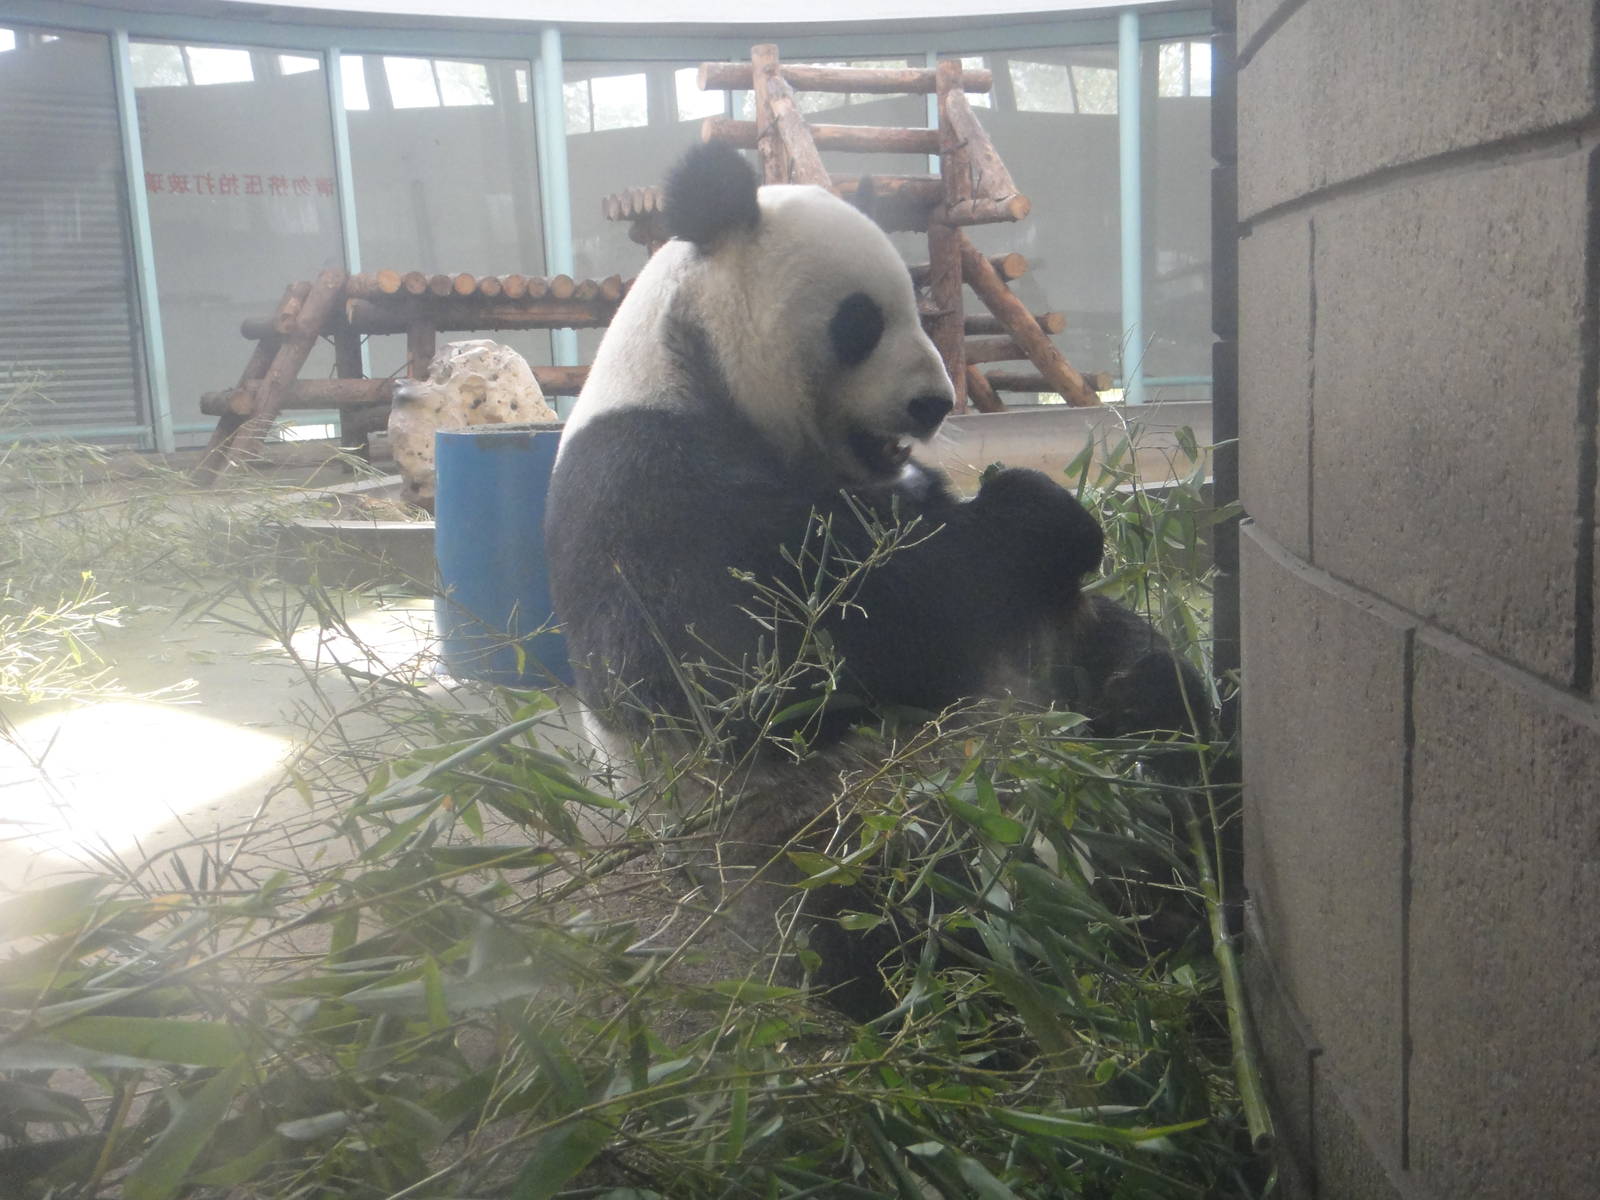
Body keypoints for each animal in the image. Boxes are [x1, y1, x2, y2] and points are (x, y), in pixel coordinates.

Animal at [544, 142, 1203, 1013]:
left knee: (1155, 692)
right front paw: (1040, 513)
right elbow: (758, 666)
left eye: (922, 308)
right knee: (891, 907)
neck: (688, 363)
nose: (933, 405)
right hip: (821, 827)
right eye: (861, 321)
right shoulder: (644, 484)